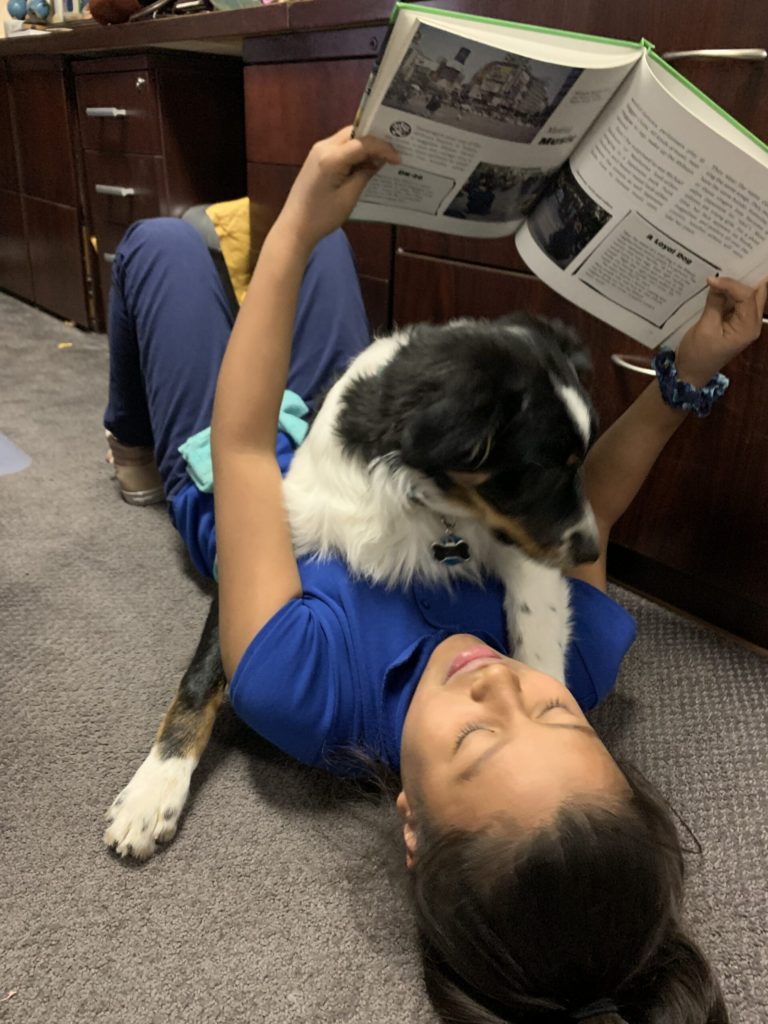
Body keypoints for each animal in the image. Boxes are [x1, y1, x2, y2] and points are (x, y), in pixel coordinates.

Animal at [103, 311, 593, 856]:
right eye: (543, 470)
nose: (592, 551)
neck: (421, 499)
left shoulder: (523, 551)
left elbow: (539, 634)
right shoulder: (271, 545)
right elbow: (200, 678)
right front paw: (153, 791)